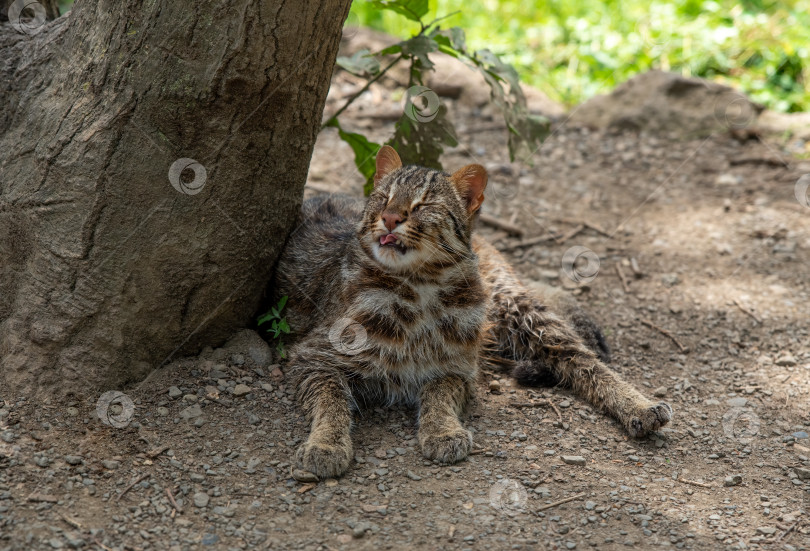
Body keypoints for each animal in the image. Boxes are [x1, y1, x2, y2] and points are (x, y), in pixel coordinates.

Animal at [272, 147, 668, 478]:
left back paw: (639, 405)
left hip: (514, 306)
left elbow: (439, 393)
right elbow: (331, 401)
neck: (419, 287)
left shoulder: (458, 367)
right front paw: (325, 443)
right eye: (383, 198)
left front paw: (442, 429)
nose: (389, 218)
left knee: (582, 359)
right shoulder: (313, 357)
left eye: (423, 205)